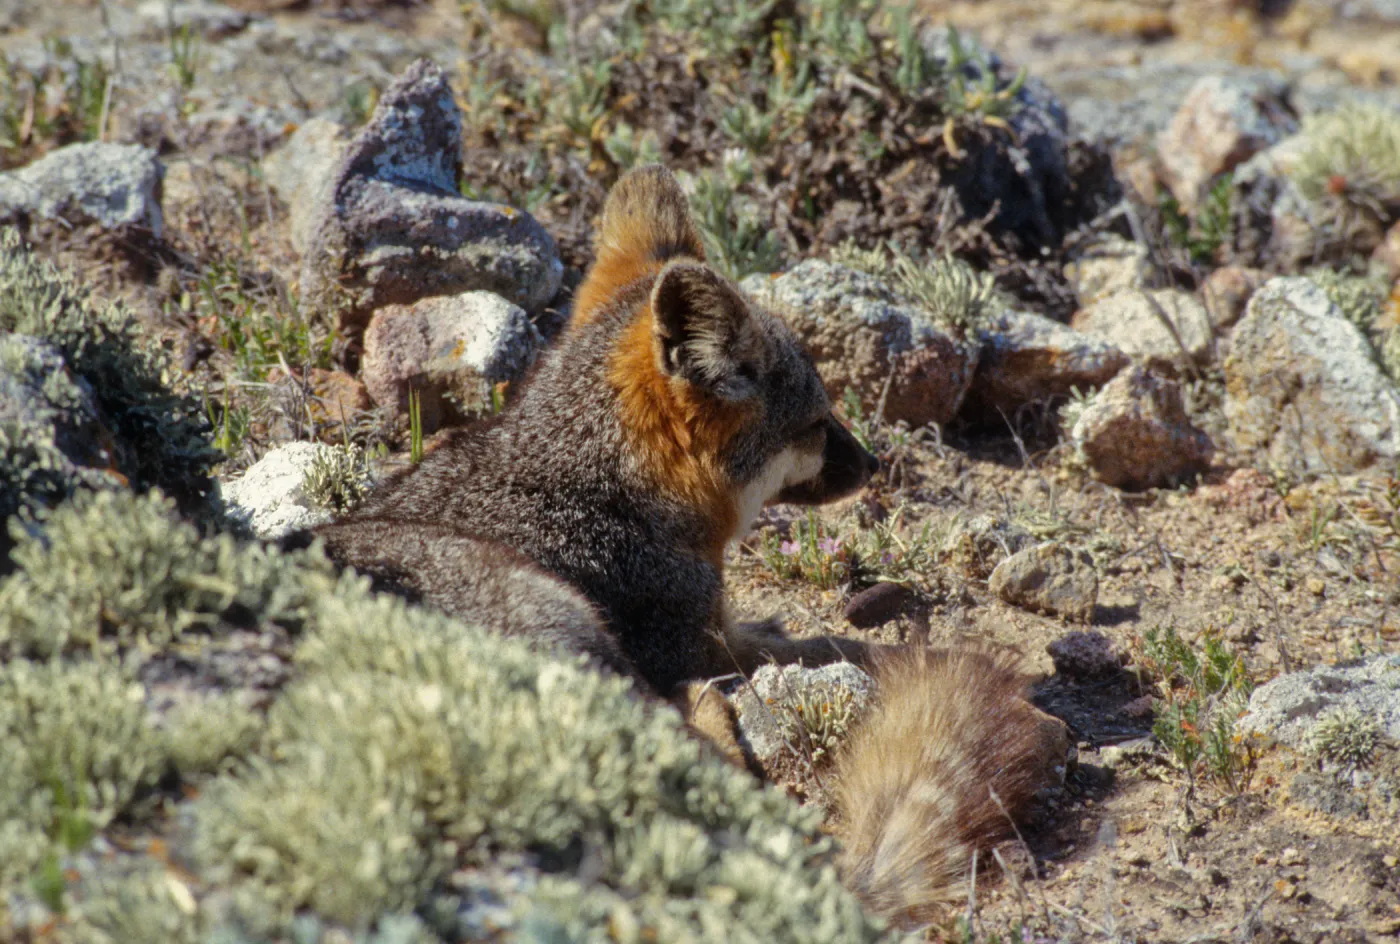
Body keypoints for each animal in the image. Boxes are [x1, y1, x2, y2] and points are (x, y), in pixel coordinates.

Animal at [301, 164, 1068, 928]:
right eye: (818, 424)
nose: (874, 463)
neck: (587, 481)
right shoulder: (697, 641)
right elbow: (855, 650)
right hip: (570, 623)